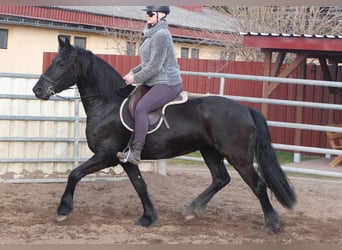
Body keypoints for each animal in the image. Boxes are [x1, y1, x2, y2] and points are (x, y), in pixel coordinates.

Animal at [32, 36, 296, 233]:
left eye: (61, 64)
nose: (38, 90)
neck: (108, 104)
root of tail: (246, 109)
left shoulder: (106, 155)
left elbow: (74, 174)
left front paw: (63, 211)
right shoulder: (125, 159)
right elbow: (140, 185)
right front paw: (148, 217)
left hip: (239, 157)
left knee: (258, 185)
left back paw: (272, 224)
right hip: (210, 151)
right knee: (221, 179)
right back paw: (192, 210)